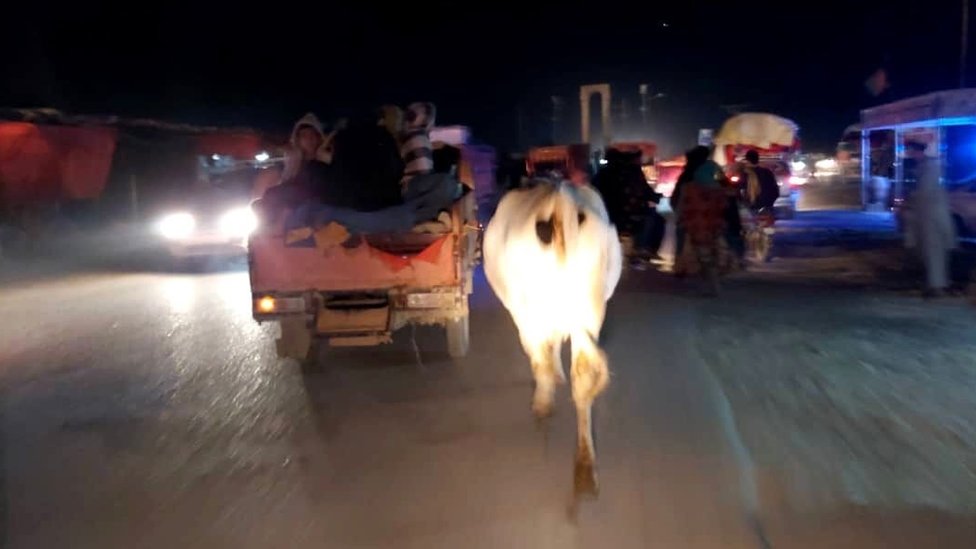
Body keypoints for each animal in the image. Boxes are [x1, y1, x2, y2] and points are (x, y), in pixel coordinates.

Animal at [482, 179, 624, 492]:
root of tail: (560, 199)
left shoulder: (524, 316)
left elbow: (541, 356)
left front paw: (546, 389)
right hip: (588, 308)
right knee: (582, 373)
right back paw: (585, 467)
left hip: (530, 309)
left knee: (540, 353)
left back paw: (543, 405)